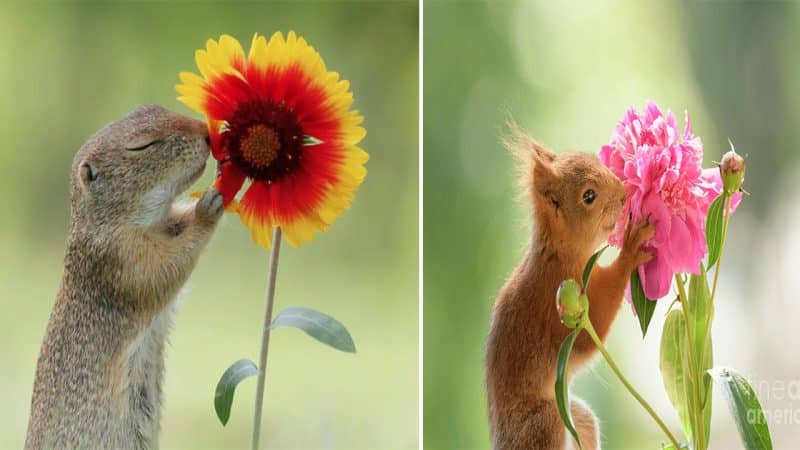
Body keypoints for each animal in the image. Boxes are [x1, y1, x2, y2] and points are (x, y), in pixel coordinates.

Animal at [25, 103, 223, 448]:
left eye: (151, 108)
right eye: (141, 146)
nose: (206, 131)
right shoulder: (122, 260)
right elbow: (166, 267)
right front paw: (208, 206)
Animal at [488, 125, 656, 450]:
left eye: (597, 160)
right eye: (588, 195)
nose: (624, 194)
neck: (561, 252)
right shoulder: (555, 298)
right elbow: (590, 336)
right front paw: (630, 248)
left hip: (577, 416)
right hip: (546, 424)